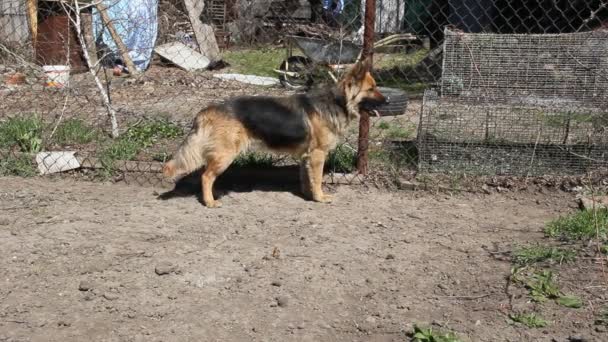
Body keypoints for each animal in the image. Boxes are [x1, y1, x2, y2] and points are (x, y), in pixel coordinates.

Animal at [163, 57, 384, 207]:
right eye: (371, 89)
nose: (388, 100)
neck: (337, 102)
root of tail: (207, 110)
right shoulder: (318, 155)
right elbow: (317, 179)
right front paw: (320, 197)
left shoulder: (307, 157)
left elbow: (307, 179)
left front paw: (308, 196)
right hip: (226, 155)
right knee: (206, 176)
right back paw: (210, 201)